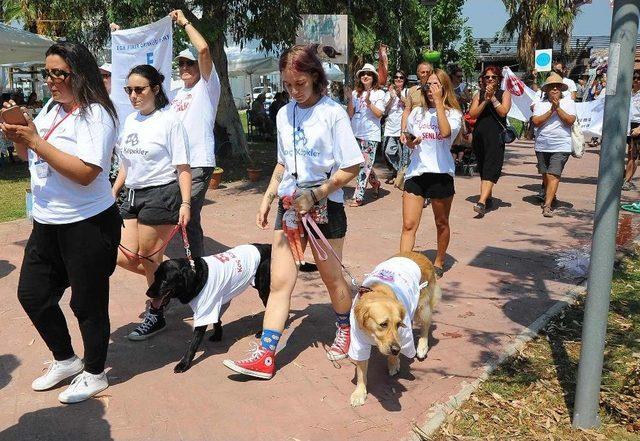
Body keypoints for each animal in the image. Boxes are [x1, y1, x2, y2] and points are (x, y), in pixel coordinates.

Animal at [146, 244, 272, 372]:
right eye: (155, 276)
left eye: (165, 280)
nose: (148, 293)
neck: (196, 276)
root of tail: (269, 246)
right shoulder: (213, 303)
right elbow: (217, 321)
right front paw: (218, 336)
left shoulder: (205, 310)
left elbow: (193, 344)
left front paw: (184, 363)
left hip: (264, 291)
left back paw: (261, 332)